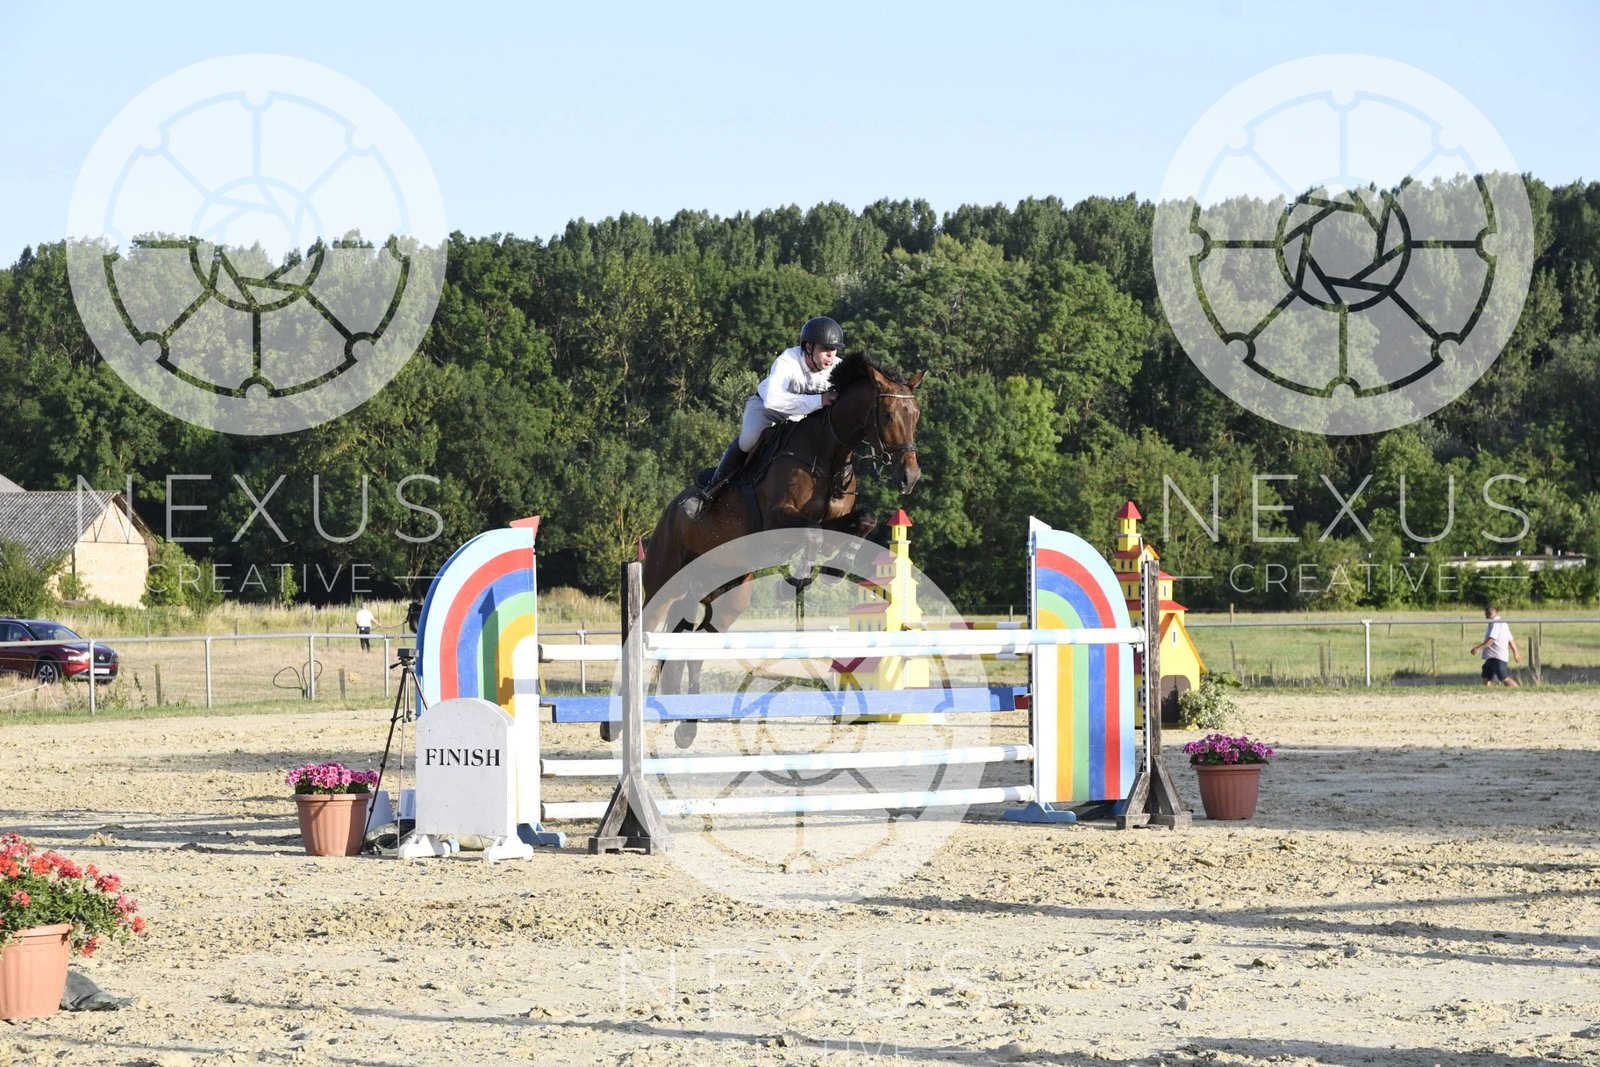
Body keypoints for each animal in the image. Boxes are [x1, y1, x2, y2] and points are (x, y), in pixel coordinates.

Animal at [641, 353, 925, 697]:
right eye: (886, 415)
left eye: (916, 416)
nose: (910, 477)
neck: (825, 455)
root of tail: (669, 511)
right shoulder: (776, 520)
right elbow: (812, 535)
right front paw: (793, 582)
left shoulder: (836, 521)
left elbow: (861, 521)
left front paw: (830, 574)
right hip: (663, 580)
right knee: (647, 629)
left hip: (726, 591)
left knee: (695, 640)